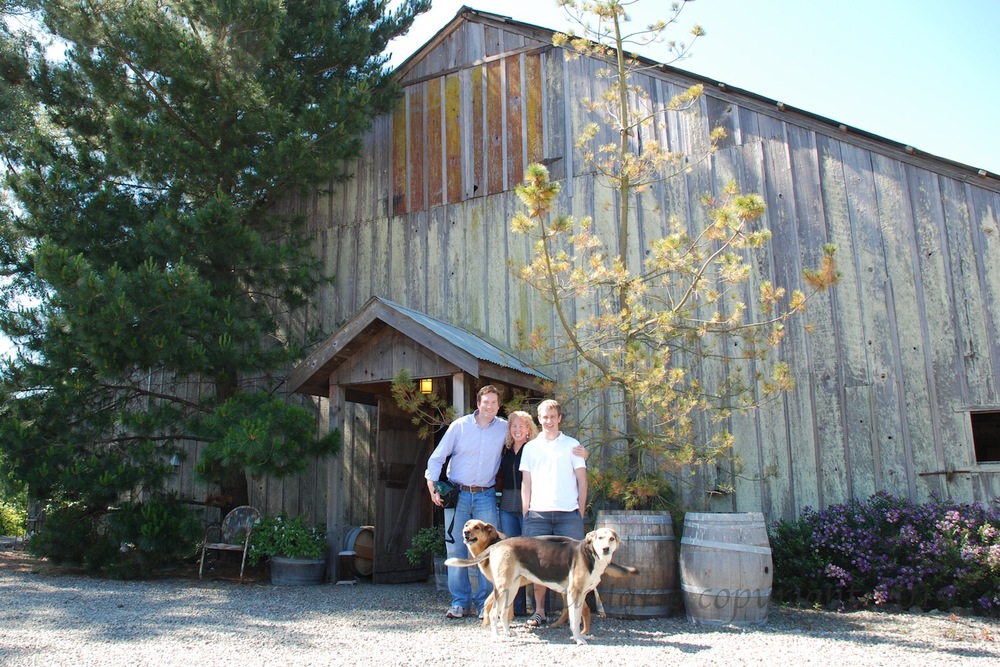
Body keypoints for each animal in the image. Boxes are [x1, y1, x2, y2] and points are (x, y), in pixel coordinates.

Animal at [448, 528, 636, 644]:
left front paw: (580, 636)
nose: (605, 549)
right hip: (502, 588)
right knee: (494, 613)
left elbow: (577, 617)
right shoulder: (574, 593)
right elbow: (575, 620)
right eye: (599, 538)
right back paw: (497, 636)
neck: (590, 554)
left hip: (512, 588)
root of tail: (497, 544)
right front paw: (578, 639)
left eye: (611, 539)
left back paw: (508, 632)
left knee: (503, 613)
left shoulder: (581, 595)